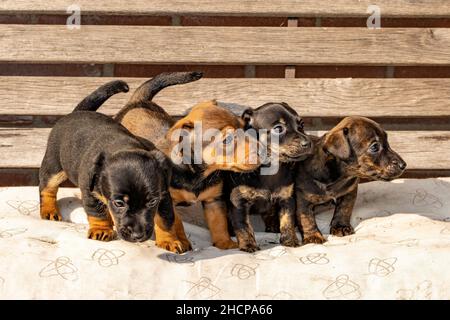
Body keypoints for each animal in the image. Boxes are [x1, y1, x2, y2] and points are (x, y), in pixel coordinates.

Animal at [39, 80, 192, 252]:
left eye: (152, 202)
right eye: (119, 203)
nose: (138, 236)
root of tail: (77, 112)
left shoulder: (163, 196)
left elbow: (165, 220)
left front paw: (169, 240)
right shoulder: (90, 193)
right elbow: (97, 213)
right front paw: (101, 230)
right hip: (54, 166)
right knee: (47, 188)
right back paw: (49, 210)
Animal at [224, 102, 312, 252]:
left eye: (302, 125)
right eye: (278, 128)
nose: (308, 143)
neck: (270, 168)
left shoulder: (287, 199)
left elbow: (287, 221)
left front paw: (290, 240)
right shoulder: (238, 202)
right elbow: (243, 225)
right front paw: (248, 244)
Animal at [294, 116, 406, 244]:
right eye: (374, 147)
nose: (404, 165)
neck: (337, 176)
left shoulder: (349, 192)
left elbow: (344, 209)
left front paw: (341, 227)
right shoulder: (303, 199)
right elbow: (306, 219)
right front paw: (313, 236)